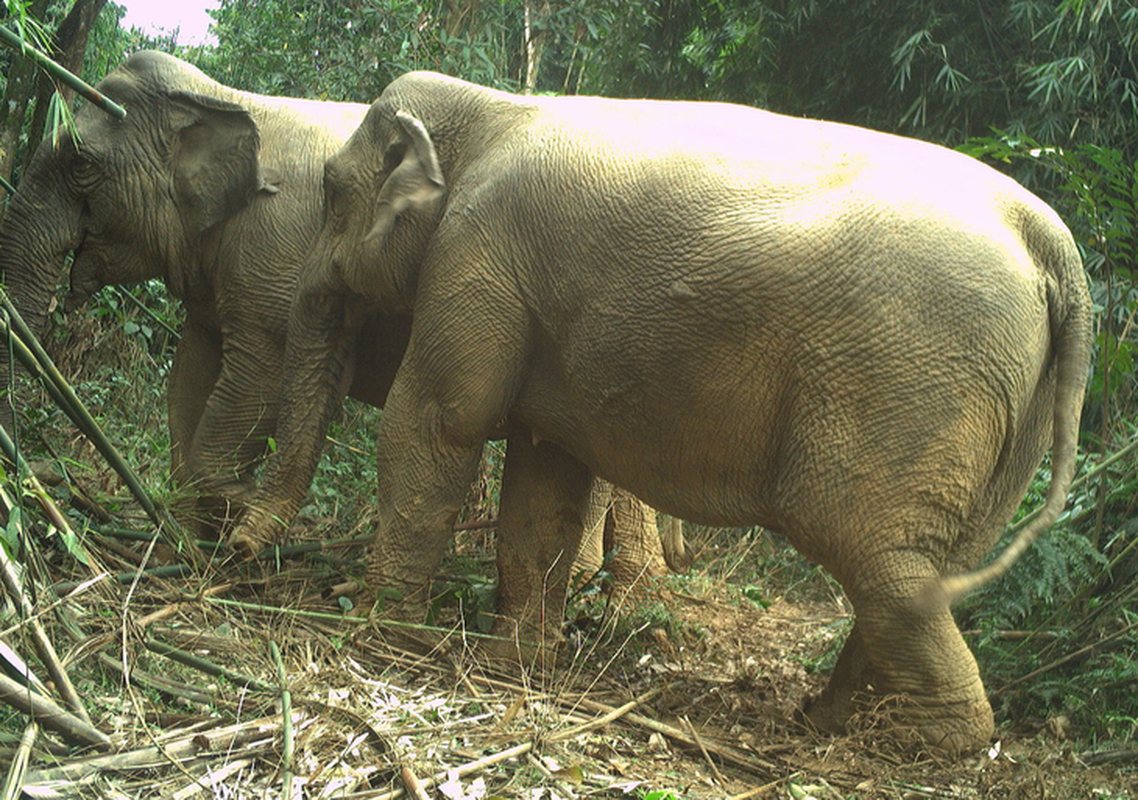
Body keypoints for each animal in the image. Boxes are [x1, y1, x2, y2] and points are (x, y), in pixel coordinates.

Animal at [0, 51, 673, 605]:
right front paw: (181, 544)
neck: (224, 95)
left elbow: (252, 385)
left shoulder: (272, 259)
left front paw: (217, 534)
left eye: (80, 164)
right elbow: (187, 385)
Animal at [231, 70, 1092, 755]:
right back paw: (830, 720)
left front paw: (383, 637)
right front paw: (520, 664)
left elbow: (441, 418)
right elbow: (546, 475)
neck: (494, 107)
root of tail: (1055, 244)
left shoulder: (477, 255)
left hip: (912, 381)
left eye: (332, 194)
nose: (235, 553)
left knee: (875, 555)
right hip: (1003, 407)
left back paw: (921, 744)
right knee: (925, 569)